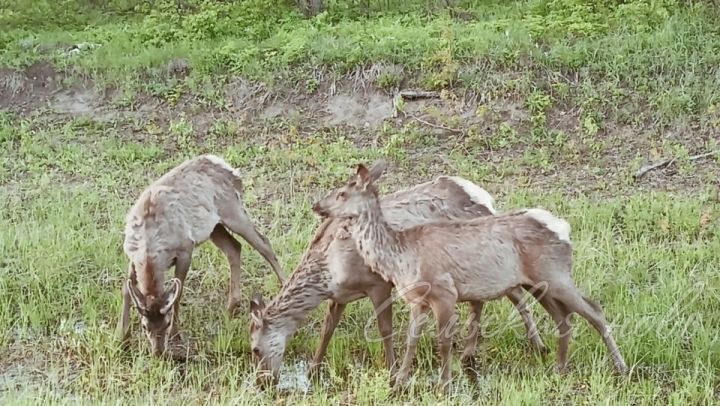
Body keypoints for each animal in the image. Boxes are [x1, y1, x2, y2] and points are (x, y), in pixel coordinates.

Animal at [114, 154, 286, 356]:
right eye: (144, 326)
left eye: (166, 323)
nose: (158, 352)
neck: (150, 247)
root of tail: (231, 171)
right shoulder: (132, 256)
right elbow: (126, 289)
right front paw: (122, 337)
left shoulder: (185, 248)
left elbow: (178, 293)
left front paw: (176, 335)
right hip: (215, 227)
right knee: (234, 247)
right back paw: (231, 305)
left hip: (233, 211)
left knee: (263, 243)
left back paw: (284, 284)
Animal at [248, 174, 544, 384]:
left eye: (255, 349)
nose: (264, 381)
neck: (328, 270)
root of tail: (486, 200)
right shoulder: (339, 295)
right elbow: (327, 329)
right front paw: (313, 369)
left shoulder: (378, 283)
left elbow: (384, 329)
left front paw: (392, 373)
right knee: (484, 299)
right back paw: (470, 354)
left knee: (516, 294)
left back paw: (538, 345)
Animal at [312, 161, 628, 390]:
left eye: (341, 192)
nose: (316, 205)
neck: (401, 257)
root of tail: (563, 229)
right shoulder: (417, 299)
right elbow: (412, 339)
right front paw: (400, 381)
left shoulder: (444, 290)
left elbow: (443, 340)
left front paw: (445, 384)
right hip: (539, 283)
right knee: (564, 318)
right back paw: (559, 368)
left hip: (556, 274)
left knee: (594, 311)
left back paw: (620, 368)